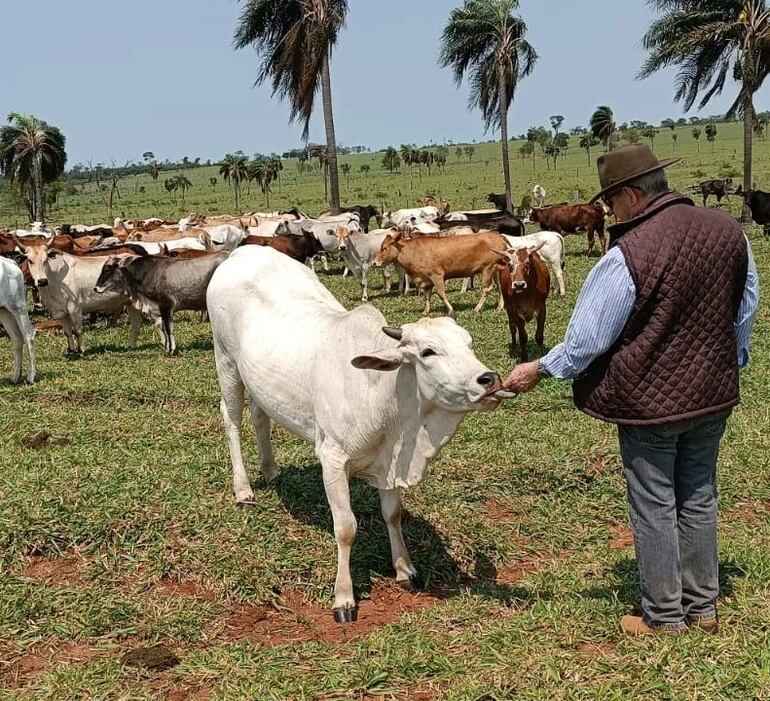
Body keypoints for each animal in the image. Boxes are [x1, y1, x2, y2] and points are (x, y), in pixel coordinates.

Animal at [94, 252, 226, 352]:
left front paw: (171, 349)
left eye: (107, 269)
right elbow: (163, 327)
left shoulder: (166, 305)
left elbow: (168, 328)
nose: (95, 288)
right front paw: (167, 347)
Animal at [206, 245, 504, 616]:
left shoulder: (389, 462)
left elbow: (392, 514)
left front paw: (404, 568)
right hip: (226, 361)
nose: (489, 379)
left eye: (469, 343)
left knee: (260, 415)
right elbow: (346, 528)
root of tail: (244, 251)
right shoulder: (332, 459)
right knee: (231, 418)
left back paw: (271, 470)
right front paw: (344, 596)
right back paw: (243, 488)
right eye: (428, 352)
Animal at [370, 231, 504, 316]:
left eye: (385, 248)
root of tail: (498, 236)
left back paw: (477, 308)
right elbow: (427, 296)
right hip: (497, 270)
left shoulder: (437, 275)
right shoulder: (427, 280)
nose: (374, 262)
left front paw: (451, 310)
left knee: (486, 289)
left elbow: (441, 294)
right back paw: (499, 307)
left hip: (488, 269)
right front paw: (425, 311)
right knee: (500, 288)